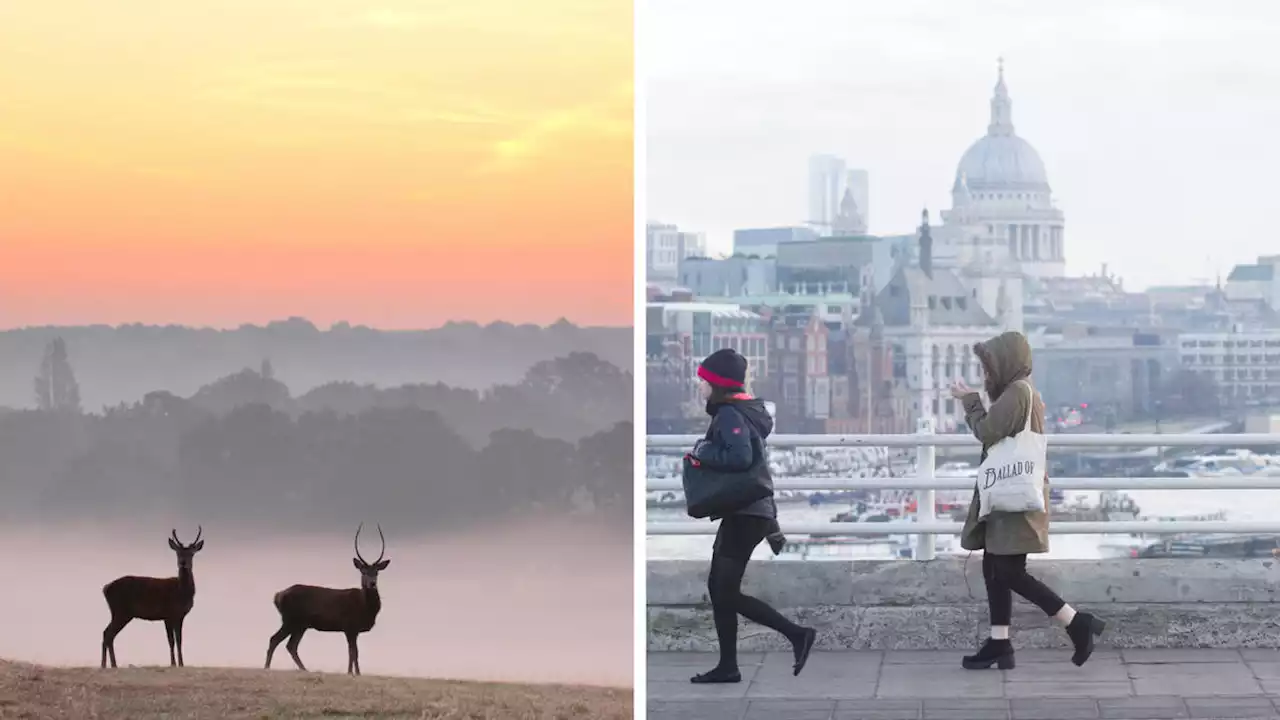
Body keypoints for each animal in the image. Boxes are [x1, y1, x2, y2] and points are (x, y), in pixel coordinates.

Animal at [101, 520, 203, 666]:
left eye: (191, 554)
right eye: (178, 553)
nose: (183, 563)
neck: (181, 592)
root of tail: (105, 588)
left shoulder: (179, 615)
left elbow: (179, 640)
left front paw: (180, 663)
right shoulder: (168, 613)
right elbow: (172, 641)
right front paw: (174, 664)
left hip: (121, 613)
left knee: (108, 634)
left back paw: (108, 665)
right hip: (121, 611)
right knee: (108, 633)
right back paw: (109, 665)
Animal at [264, 520, 389, 671]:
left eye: (376, 572)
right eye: (363, 571)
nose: (372, 583)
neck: (365, 608)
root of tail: (277, 596)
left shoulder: (353, 630)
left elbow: (353, 652)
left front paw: (353, 672)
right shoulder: (349, 626)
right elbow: (353, 652)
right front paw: (353, 673)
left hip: (301, 624)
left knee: (291, 645)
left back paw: (304, 670)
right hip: (290, 619)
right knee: (275, 639)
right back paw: (267, 667)